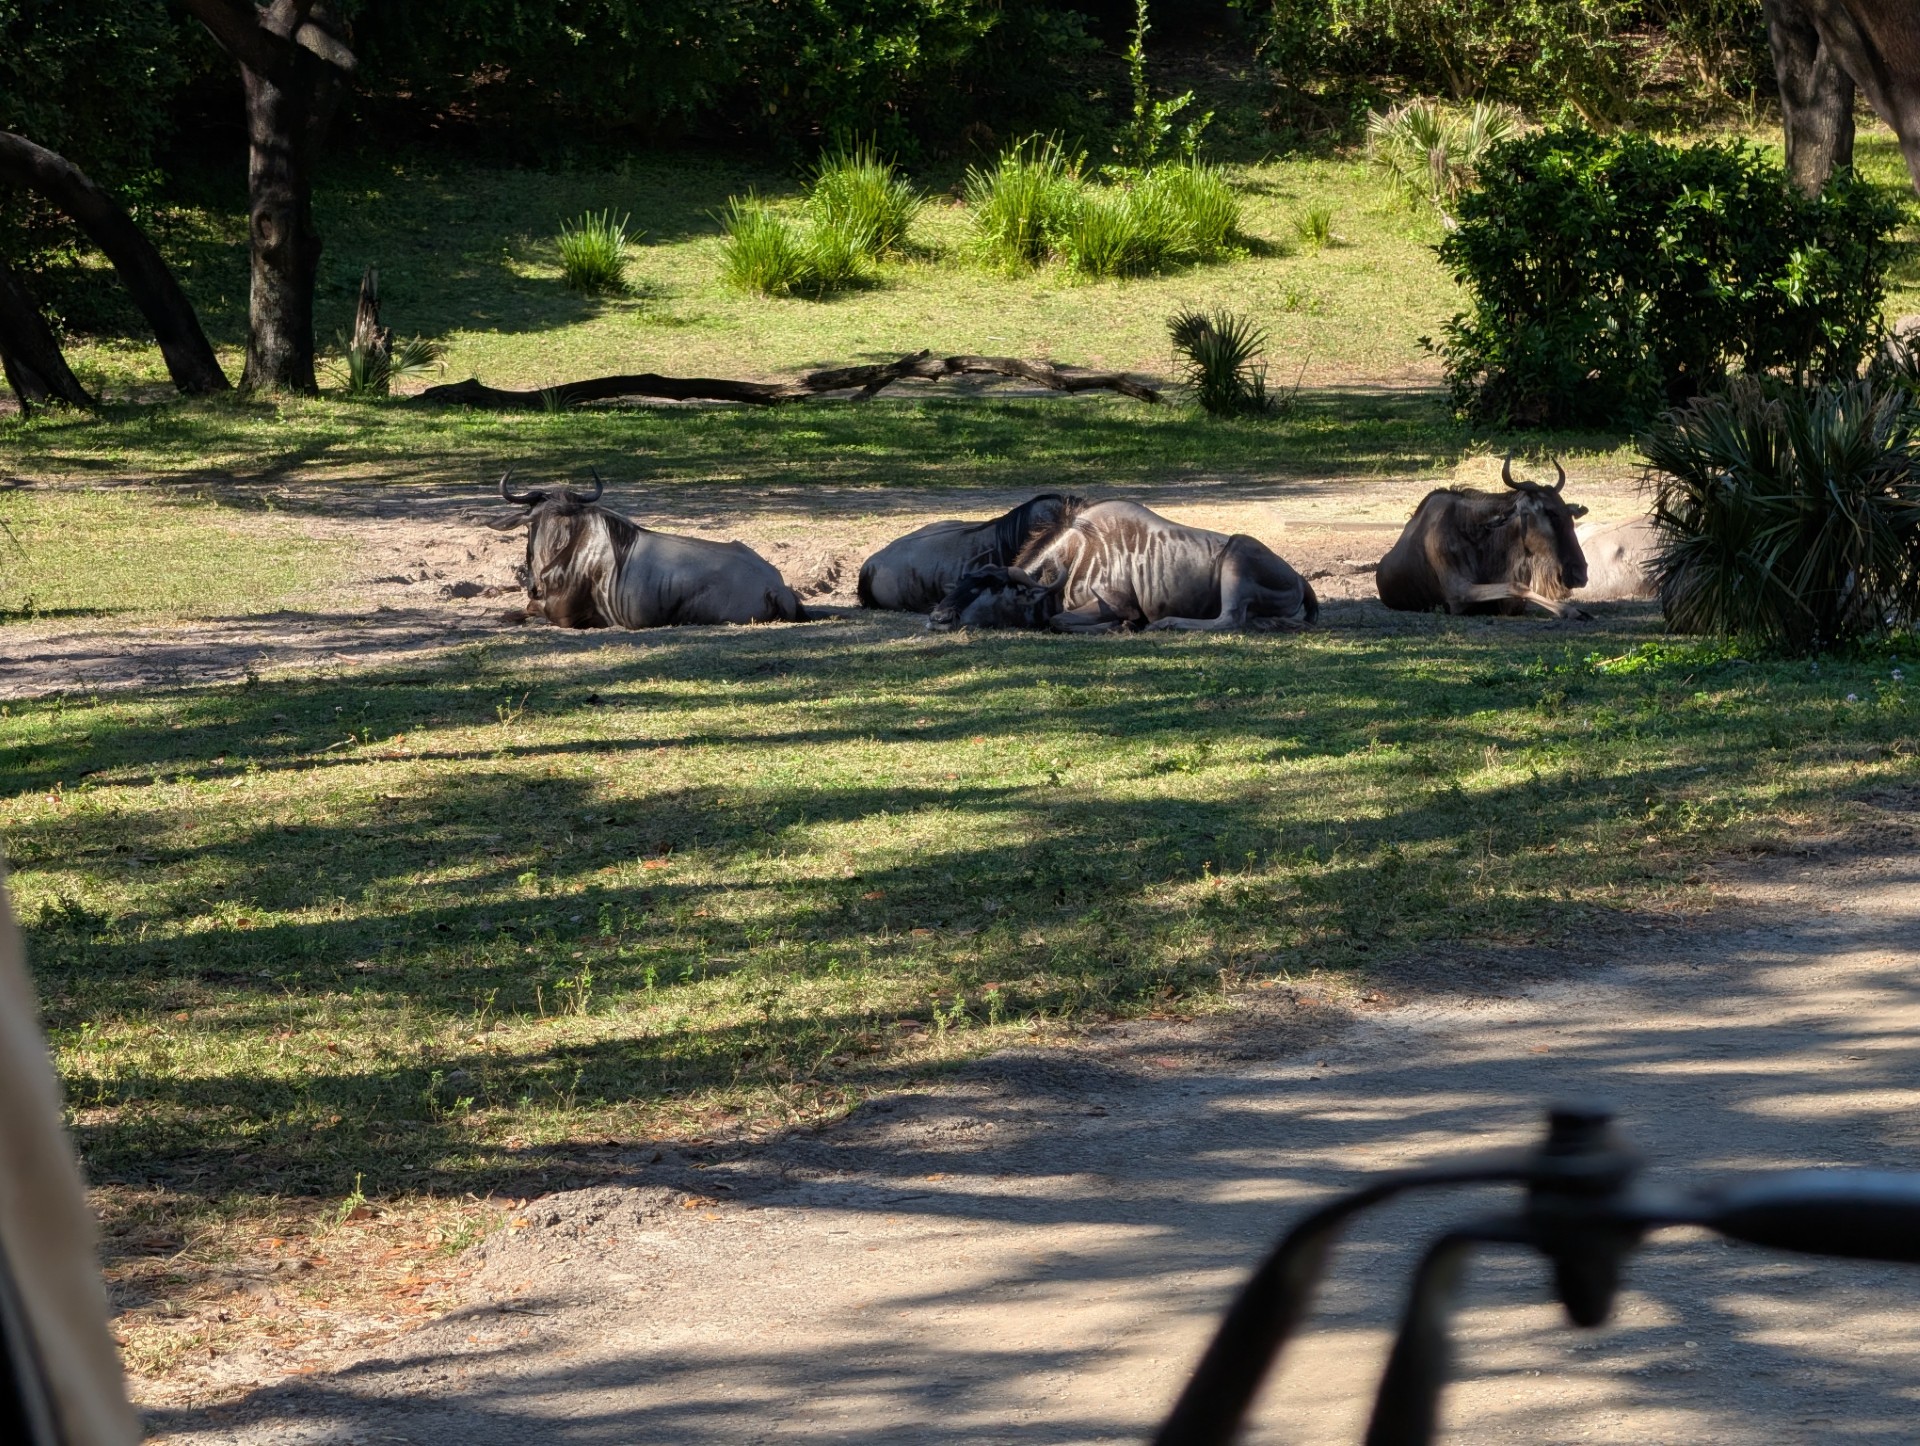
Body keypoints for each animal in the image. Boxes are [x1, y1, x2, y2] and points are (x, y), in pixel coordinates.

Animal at [929, 500, 1318, 633]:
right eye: (961, 584)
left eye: (990, 588)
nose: (937, 618)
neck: (1077, 556)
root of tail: (1300, 579)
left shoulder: (1117, 603)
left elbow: (1059, 621)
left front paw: (1124, 627)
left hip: (1237, 555)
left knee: (1230, 619)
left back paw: (1167, 623)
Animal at [1375, 457, 1590, 618]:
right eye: (1551, 513)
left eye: (1569, 514)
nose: (1579, 574)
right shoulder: (1458, 593)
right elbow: (1516, 585)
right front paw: (1570, 610)